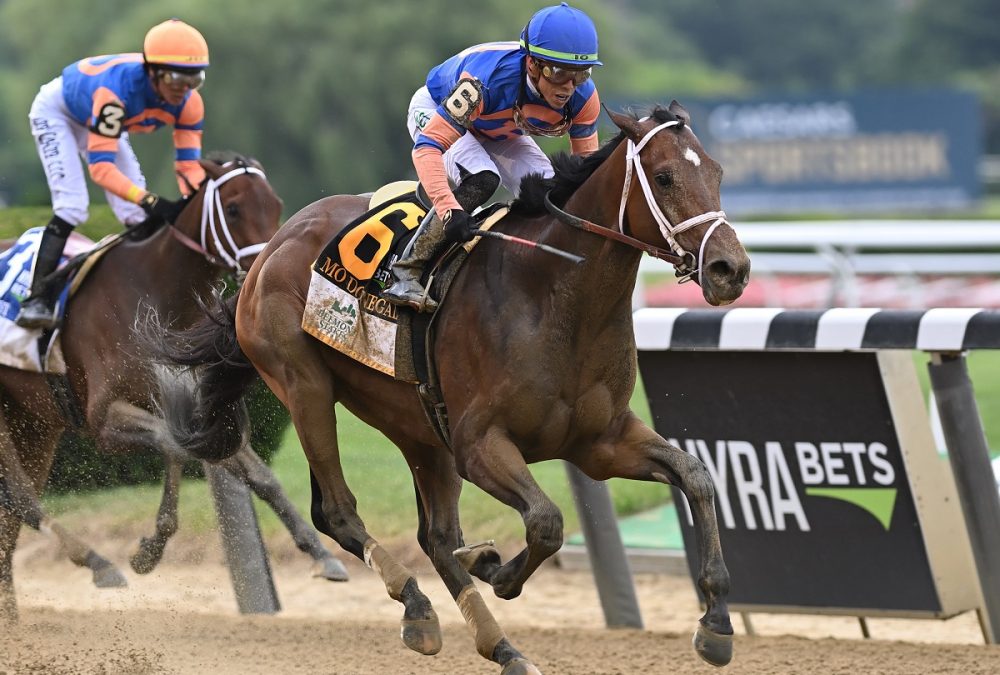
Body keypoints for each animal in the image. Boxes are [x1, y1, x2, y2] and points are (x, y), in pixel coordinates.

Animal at [0, 153, 348, 624]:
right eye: (233, 208)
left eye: (275, 203)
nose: (268, 265)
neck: (154, 295)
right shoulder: (105, 420)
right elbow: (173, 447)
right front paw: (149, 550)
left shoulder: (195, 412)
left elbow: (258, 475)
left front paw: (321, 553)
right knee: (22, 498)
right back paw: (98, 563)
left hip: (36, 425)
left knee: (14, 515)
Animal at [148, 103, 748, 672]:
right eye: (665, 177)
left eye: (717, 172)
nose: (731, 269)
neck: (555, 295)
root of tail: (271, 248)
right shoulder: (478, 445)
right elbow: (546, 522)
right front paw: (500, 572)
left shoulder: (599, 443)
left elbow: (697, 477)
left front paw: (716, 621)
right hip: (305, 387)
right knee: (337, 511)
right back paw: (419, 606)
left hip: (414, 424)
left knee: (434, 536)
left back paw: (501, 645)